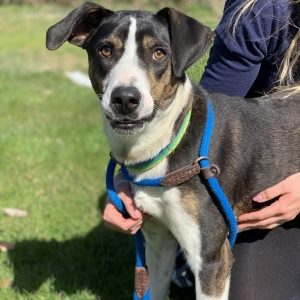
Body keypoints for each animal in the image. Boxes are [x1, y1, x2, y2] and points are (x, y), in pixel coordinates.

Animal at [45, 2, 298, 300]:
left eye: (159, 53)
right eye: (105, 50)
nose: (125, 99)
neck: (166, 143)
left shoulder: (211, 260)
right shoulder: (158, 242)